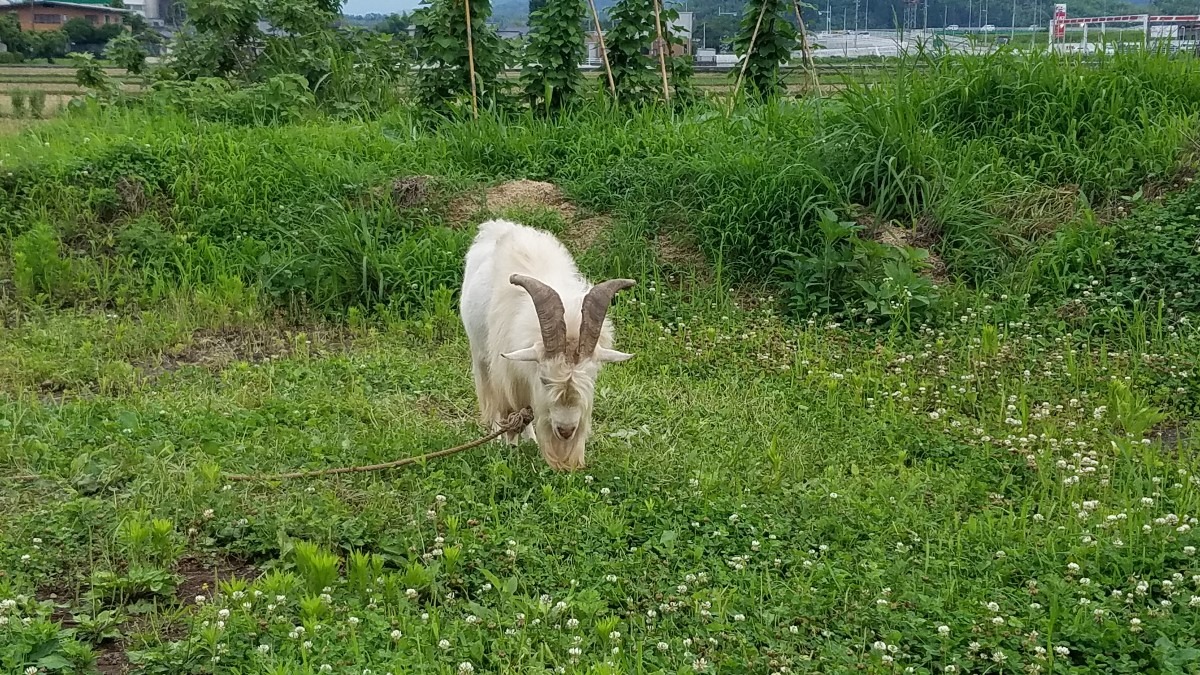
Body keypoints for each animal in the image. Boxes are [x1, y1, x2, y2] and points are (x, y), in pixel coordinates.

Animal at [456, 219, 638, 468]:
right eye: (544, 379)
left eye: (592, 377)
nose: (566, 430)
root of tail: (497, 225)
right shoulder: (507, 373)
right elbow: (510, 412)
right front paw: (508, 446)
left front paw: (530, 442)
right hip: (480, 353)